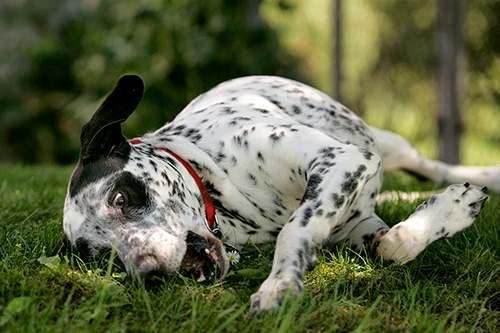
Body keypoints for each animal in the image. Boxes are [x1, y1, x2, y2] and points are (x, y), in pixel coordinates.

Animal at [62, 74, 496, 312]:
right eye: (104, 258)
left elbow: (295, 229)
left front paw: (280, 282)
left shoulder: (340, 158)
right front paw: (446, 212)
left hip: (393, 145)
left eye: (121, 199)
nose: (148, 274)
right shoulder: (356, 220)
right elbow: (393, 246)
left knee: (433, 167)